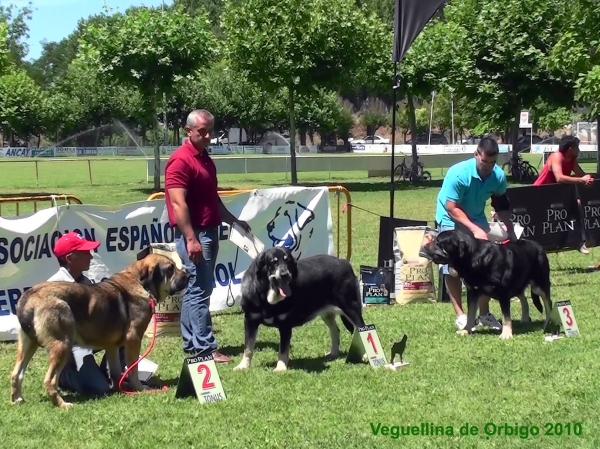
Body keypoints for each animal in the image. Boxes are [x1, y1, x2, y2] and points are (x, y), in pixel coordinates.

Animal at [11, 252, 190, 406]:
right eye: (170, 269)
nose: (188, 275)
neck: (140, 283)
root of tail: (29, 296)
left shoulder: (113, 347)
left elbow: (117, 371)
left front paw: (120, 389)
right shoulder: (133, 339)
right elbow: (133, 369)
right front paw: (139, 388)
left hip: (27, 345)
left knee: (16, 374)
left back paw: (17, 400)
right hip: (62, 344)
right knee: (50, 380)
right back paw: (63, 404)